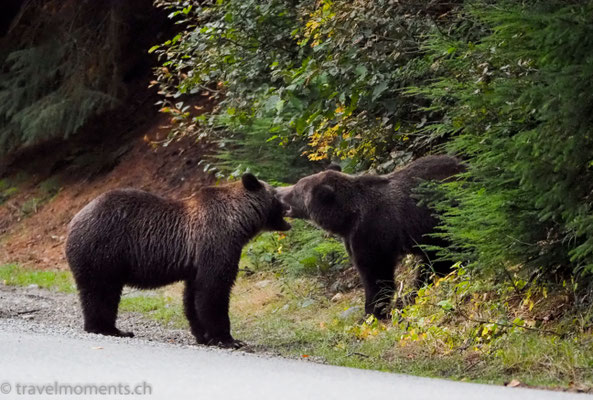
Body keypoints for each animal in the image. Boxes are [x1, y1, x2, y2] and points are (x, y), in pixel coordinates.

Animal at [65, 173, 292, 348]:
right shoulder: (216, 242)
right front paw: (228, 339)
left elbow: (193, 296)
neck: (237, 221)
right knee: (101, 290)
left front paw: (204, 335)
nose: (288, 205)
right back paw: (107, 328)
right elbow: (214, 290)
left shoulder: (196, 263)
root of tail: (74, 220)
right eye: (276, 194)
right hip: (103, 249)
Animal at [276, 155, 464, 318]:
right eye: (298, 185)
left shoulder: (372, 232)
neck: (347, 218)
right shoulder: (351, 238)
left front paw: (371, 313)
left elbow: (375, 273)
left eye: (296, 190)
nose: (278, 192)